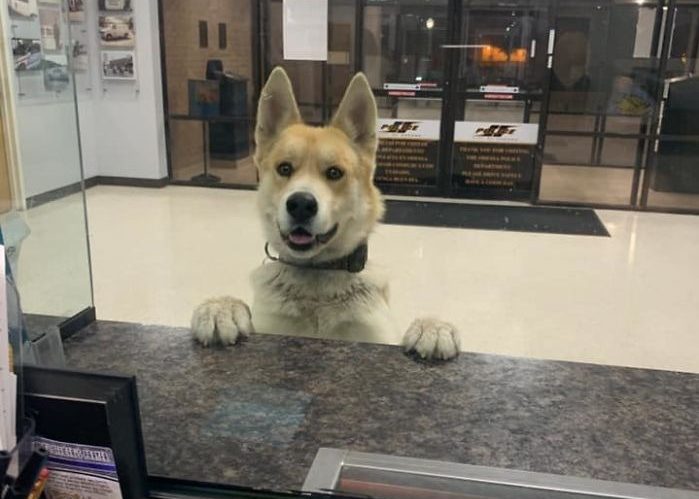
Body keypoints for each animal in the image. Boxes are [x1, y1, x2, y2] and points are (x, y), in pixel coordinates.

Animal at [191, 68, 462, 362]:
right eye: (284, 168)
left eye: (334, 173)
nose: (301, 204)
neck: (317, 275)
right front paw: (221, 307)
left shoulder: (379, 337)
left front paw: (432, 327)